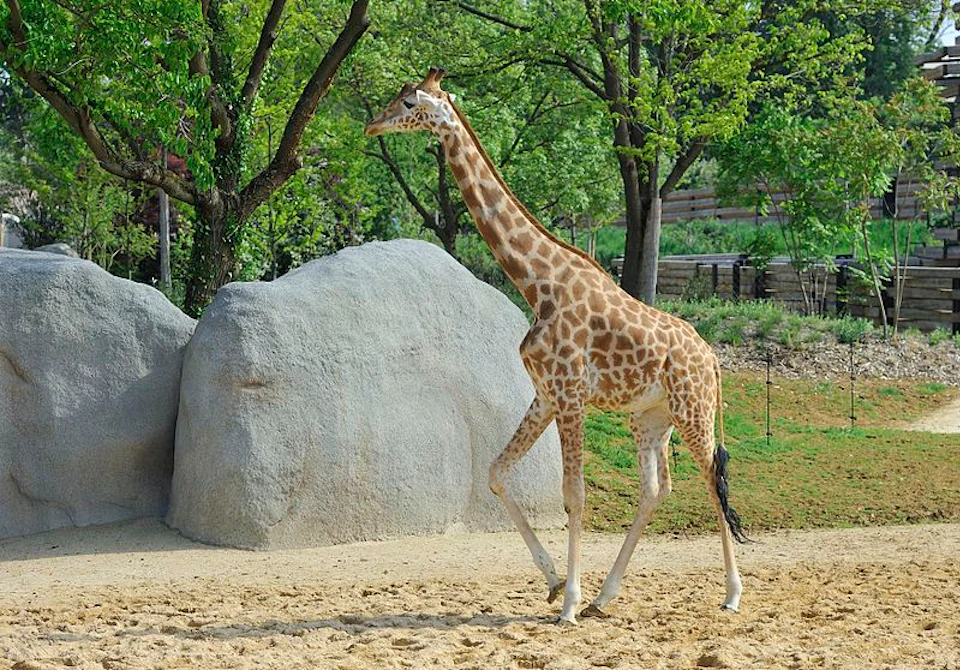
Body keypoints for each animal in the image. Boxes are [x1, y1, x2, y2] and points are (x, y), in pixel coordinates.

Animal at [365, 68, 748, 625]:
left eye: (410, 102)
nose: (372, 124)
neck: (536, 283)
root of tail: (714, 359)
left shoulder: (570, 395)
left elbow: (574, 494)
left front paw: (566, 601)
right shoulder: (545, 394)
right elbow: (496, 472)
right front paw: (552, 585)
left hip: (693, 409)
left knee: (713, 482)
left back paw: (731, 593)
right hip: (650, 416)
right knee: (657, 489)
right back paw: (605, 596)